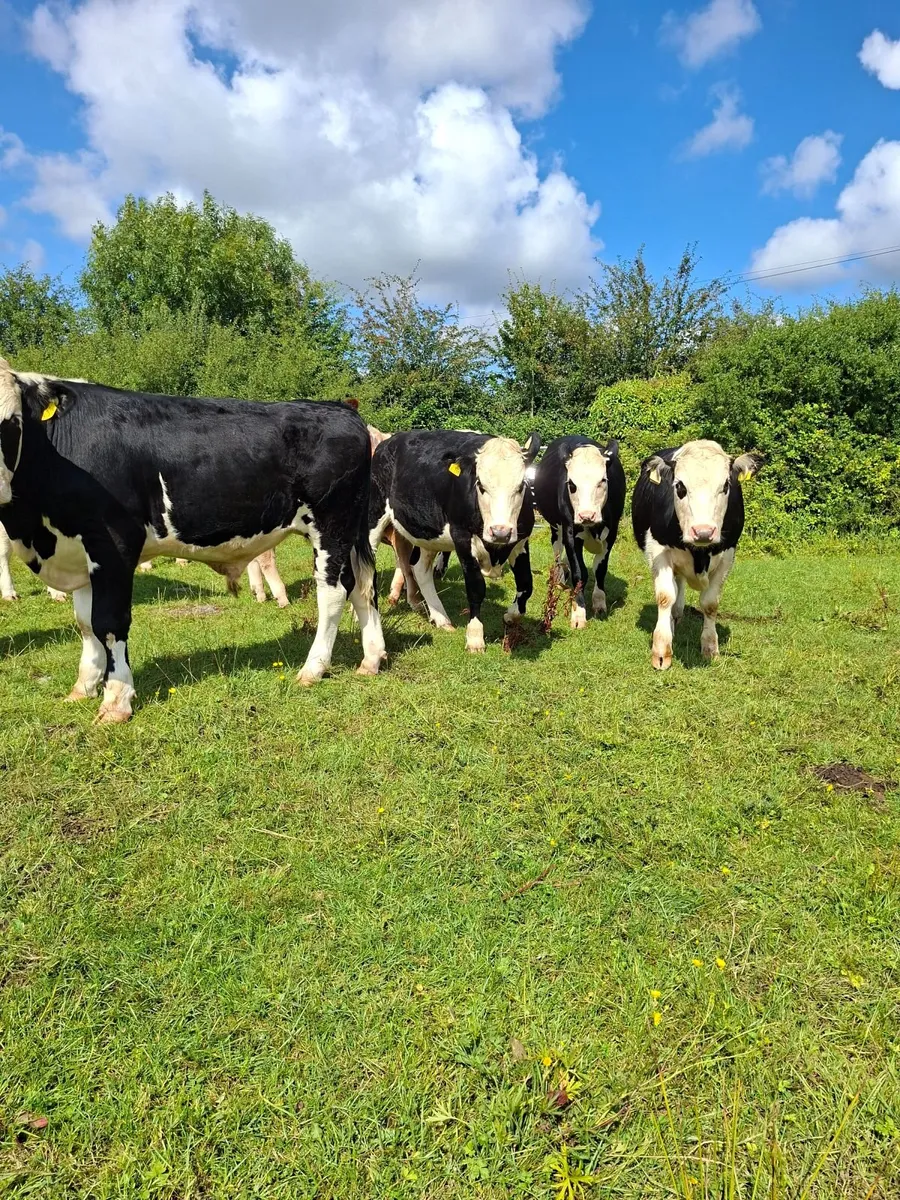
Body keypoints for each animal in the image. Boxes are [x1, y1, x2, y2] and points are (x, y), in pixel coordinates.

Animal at [0, 360, 385, 721]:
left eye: (11, 422)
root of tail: (341, 409)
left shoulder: (114, 543)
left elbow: (108, 622)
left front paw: (116, 700)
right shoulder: (77, 550)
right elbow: (84, 624)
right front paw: (84, 686)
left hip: (331, 526)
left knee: (333, 592)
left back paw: (312, 668)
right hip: (349, 532)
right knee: (362, 586)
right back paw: (371, 659)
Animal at [368, 429, 540, 652]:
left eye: (520, 486)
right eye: (480, 485)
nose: (500, 532)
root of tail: (388, 442)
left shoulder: (520, 542)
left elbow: (526, 583)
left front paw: (511, 615)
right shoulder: (462, 538)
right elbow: (476, 588)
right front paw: (475, 637)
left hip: (429, 533)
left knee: (419, 569)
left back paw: (440, 618)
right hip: (374, 515)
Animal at [531, 436, 626, 630]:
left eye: (602, 481)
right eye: (572, 484)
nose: (586, 515)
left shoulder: (611, 534)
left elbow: (600, 569)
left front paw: (599, 603)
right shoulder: (570, 534)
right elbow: (579, 572)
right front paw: (578, 613)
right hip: (556, 529)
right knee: (558, 553)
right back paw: (559, 578)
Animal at [631, 439, 761, 670]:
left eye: (726, 485)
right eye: (679, 486)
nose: (703, 531)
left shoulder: (728, 555)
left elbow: (710, 604)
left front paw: (710, 648)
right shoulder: (658, 551)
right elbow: (665, 597)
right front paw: (662, 650)